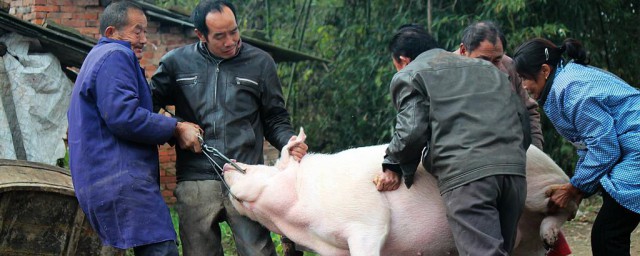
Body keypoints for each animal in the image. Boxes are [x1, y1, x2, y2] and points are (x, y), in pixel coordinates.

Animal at [224, 131, 576, 255]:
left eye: (253, 168)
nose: (228, 162)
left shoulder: (367, 222)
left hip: (540, 184)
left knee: (567, 204)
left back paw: (552, 226)